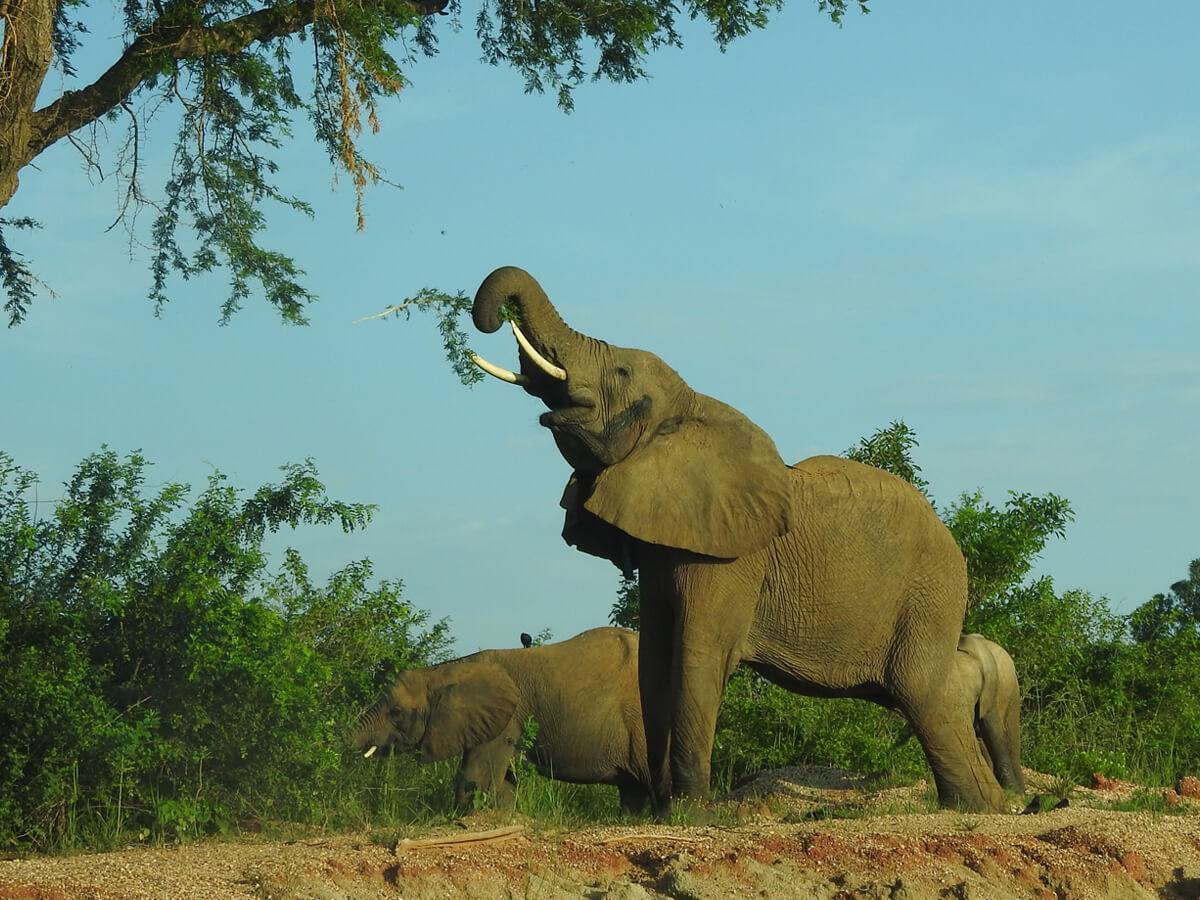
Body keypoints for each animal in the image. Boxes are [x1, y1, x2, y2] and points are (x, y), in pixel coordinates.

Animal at [350, 628, 652, 816]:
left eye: (396, 712)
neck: (443, 670)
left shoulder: (505, 720)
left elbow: (476, 780)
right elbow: (505, 783)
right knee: (633, 789)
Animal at [470, 266, 1012, 816]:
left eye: (620, 373)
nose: (493, 317)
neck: (690, 409)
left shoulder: (730, 560)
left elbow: (698, 658)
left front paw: (689, 812)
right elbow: (654, 662)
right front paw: (663, 809)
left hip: (928, 593)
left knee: (921, 692)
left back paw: (972, 807)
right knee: (935, 696)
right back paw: (990, 805)